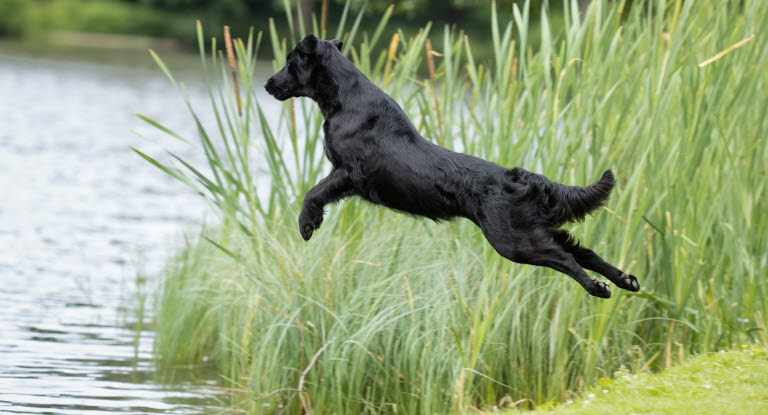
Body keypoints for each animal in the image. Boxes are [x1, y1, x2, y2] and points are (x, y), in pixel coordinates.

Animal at [268, 34, 640, 298]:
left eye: (289, 61)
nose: (267, 84)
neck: (345, 98)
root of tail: (524, 178)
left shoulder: (348, 172)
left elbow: (313, 193)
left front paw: (306, 224)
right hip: (536, 229)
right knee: (585, 252)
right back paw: (626, 280)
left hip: (514, 241)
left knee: (566, 259)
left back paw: (599, 288)